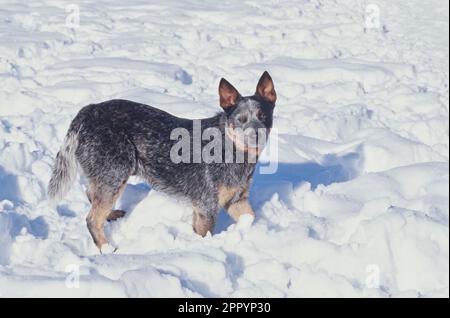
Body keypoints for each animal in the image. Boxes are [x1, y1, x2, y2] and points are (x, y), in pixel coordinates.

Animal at [47, 71, 276, 252]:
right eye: (241, 120)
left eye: (263, 116)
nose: (256, 133)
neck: (232, 149)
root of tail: (87, 112)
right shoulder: (206, 207)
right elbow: (204, 233)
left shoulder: (237, 200)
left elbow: (250, 217)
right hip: (115, 173)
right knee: (92, 218)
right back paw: (107, 248)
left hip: (107, 175)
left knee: (91, 195)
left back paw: (111, 215)